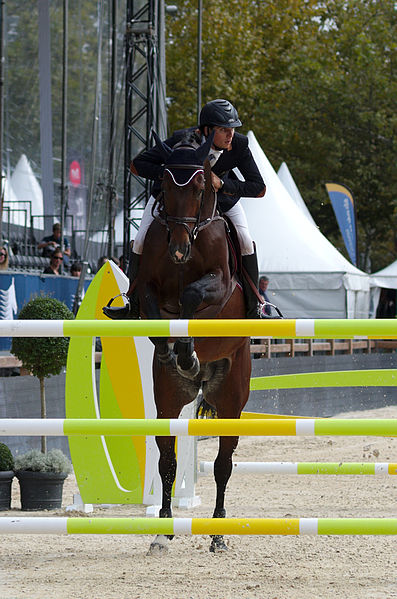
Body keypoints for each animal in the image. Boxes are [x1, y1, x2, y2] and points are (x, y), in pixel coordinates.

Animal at [138, 132, 251, 552]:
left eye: (202, 186)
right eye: (165, 185)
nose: (178, 250)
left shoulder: (219, 286)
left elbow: (191, 299)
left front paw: (186, 354)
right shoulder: (145, 287)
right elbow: (153, 309)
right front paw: (168, 349)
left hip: (232, 401)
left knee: (222, 464)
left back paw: (218, 532)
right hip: (169, 403)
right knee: (167, 462)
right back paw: (163, 530)